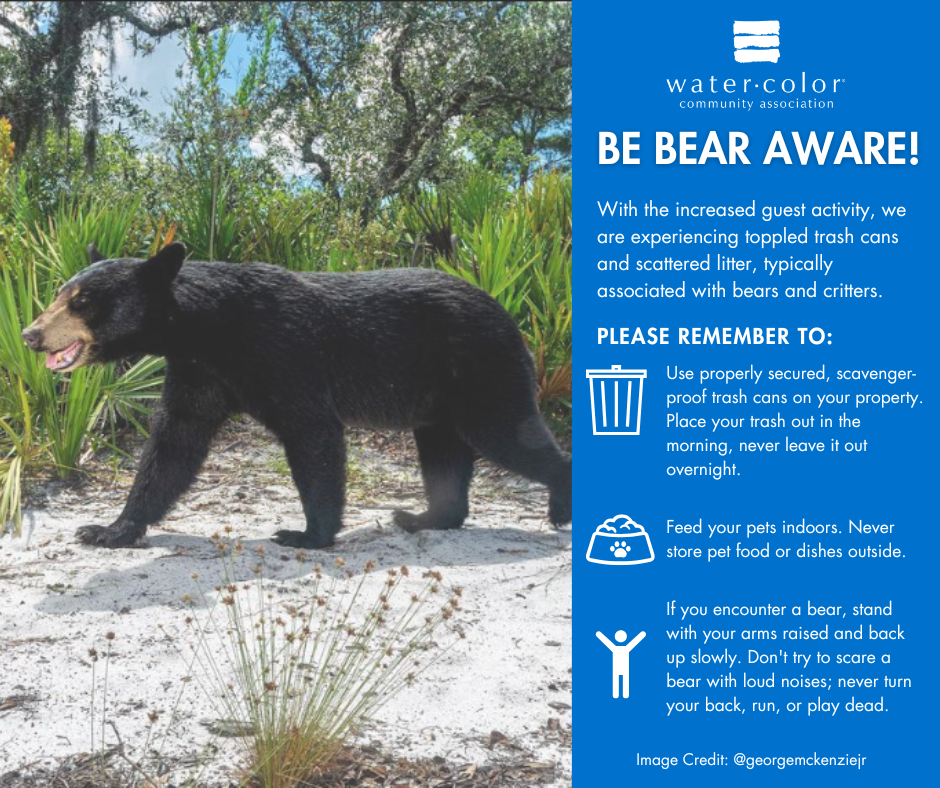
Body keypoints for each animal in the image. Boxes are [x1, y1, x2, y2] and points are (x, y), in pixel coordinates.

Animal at [21, 242, 572, 549]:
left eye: (82, 301)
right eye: (60, 292)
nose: (30, 333)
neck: (206, 329)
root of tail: (506, 313)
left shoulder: (282, 349)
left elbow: (313, 431)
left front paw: (308, 535)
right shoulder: (201, 374)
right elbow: (174, 446)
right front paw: (108, 530)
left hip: (481, 368)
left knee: (507, 432)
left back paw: (560, 507)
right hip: (438, 394)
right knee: (443, 450)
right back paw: (422, 517)